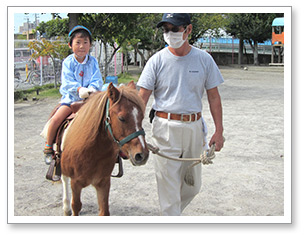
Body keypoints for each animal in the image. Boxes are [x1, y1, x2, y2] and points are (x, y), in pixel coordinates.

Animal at [59, 81, 150, 216]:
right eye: (121, 118)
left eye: (142, 117)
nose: (142, 155)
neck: (92, 152)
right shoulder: (75, 183)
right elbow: (76, 205)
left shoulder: (103, 182)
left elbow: (104, 210)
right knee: (64, 180)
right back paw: (66, 207)